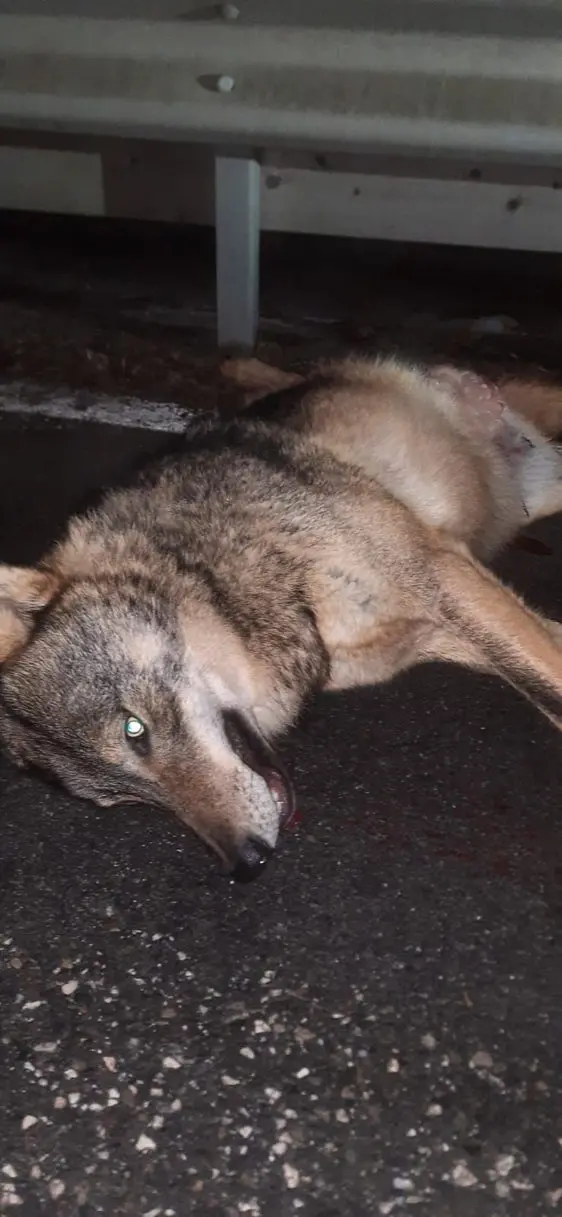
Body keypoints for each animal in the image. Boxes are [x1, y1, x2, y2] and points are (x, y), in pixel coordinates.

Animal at [2, 353, 562, 882]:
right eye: (124, 798)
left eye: (134, 731)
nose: (246, 864)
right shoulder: (447, 630)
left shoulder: (444, 575)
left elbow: (548, 686)